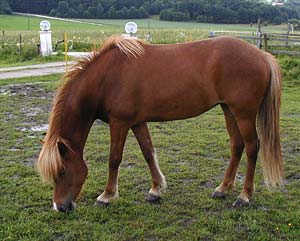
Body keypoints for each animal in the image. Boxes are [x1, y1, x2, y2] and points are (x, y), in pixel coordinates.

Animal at [36, 34, 282, 212]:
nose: (60, 207)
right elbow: (148, 153)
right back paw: (222, 189)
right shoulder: (137, 123)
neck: (106, 77)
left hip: (244, 114)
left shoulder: (119, 123)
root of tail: (262, 55)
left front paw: (107, 196)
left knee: (252, 148)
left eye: (62, 171)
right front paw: (156, 190)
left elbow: (114, 159)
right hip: (228, 110)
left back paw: (244, 196)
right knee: (237, 146)